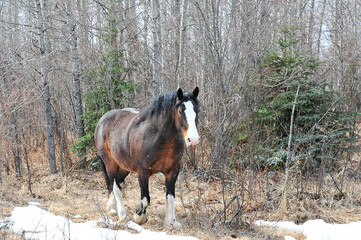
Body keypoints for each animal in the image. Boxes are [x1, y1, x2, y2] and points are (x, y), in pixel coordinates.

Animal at [94, 87, 200, 228]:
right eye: (180, 111)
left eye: (197, 110)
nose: (193, 139)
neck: (158, 138)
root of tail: (103, 119)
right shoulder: (143, 173)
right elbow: (145, 199)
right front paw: (138, 215)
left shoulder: (172, 171)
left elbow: (170, 196)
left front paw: (170, 221)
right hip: (110, 163)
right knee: (115, 186)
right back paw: (122, 214)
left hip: (124, 167)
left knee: (116, 184)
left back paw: (111, 208)